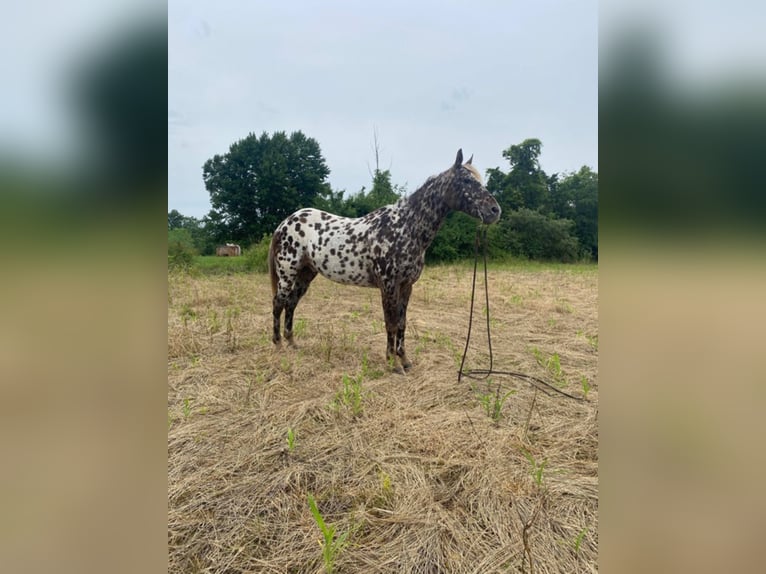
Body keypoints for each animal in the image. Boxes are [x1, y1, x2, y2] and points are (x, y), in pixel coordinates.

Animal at [270, 148, 504, 374]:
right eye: (466, 181)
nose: (495, 211)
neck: (405, 228)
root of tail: (285, 223)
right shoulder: (388, 285)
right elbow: (390, 323)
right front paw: (393, 363)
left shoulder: (406, 286)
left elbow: (401, 323)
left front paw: (405, 360)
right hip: (287, 274)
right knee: (279, 303)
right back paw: (278, 344)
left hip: (306, 274)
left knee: (291, 303)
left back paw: (292, 343)